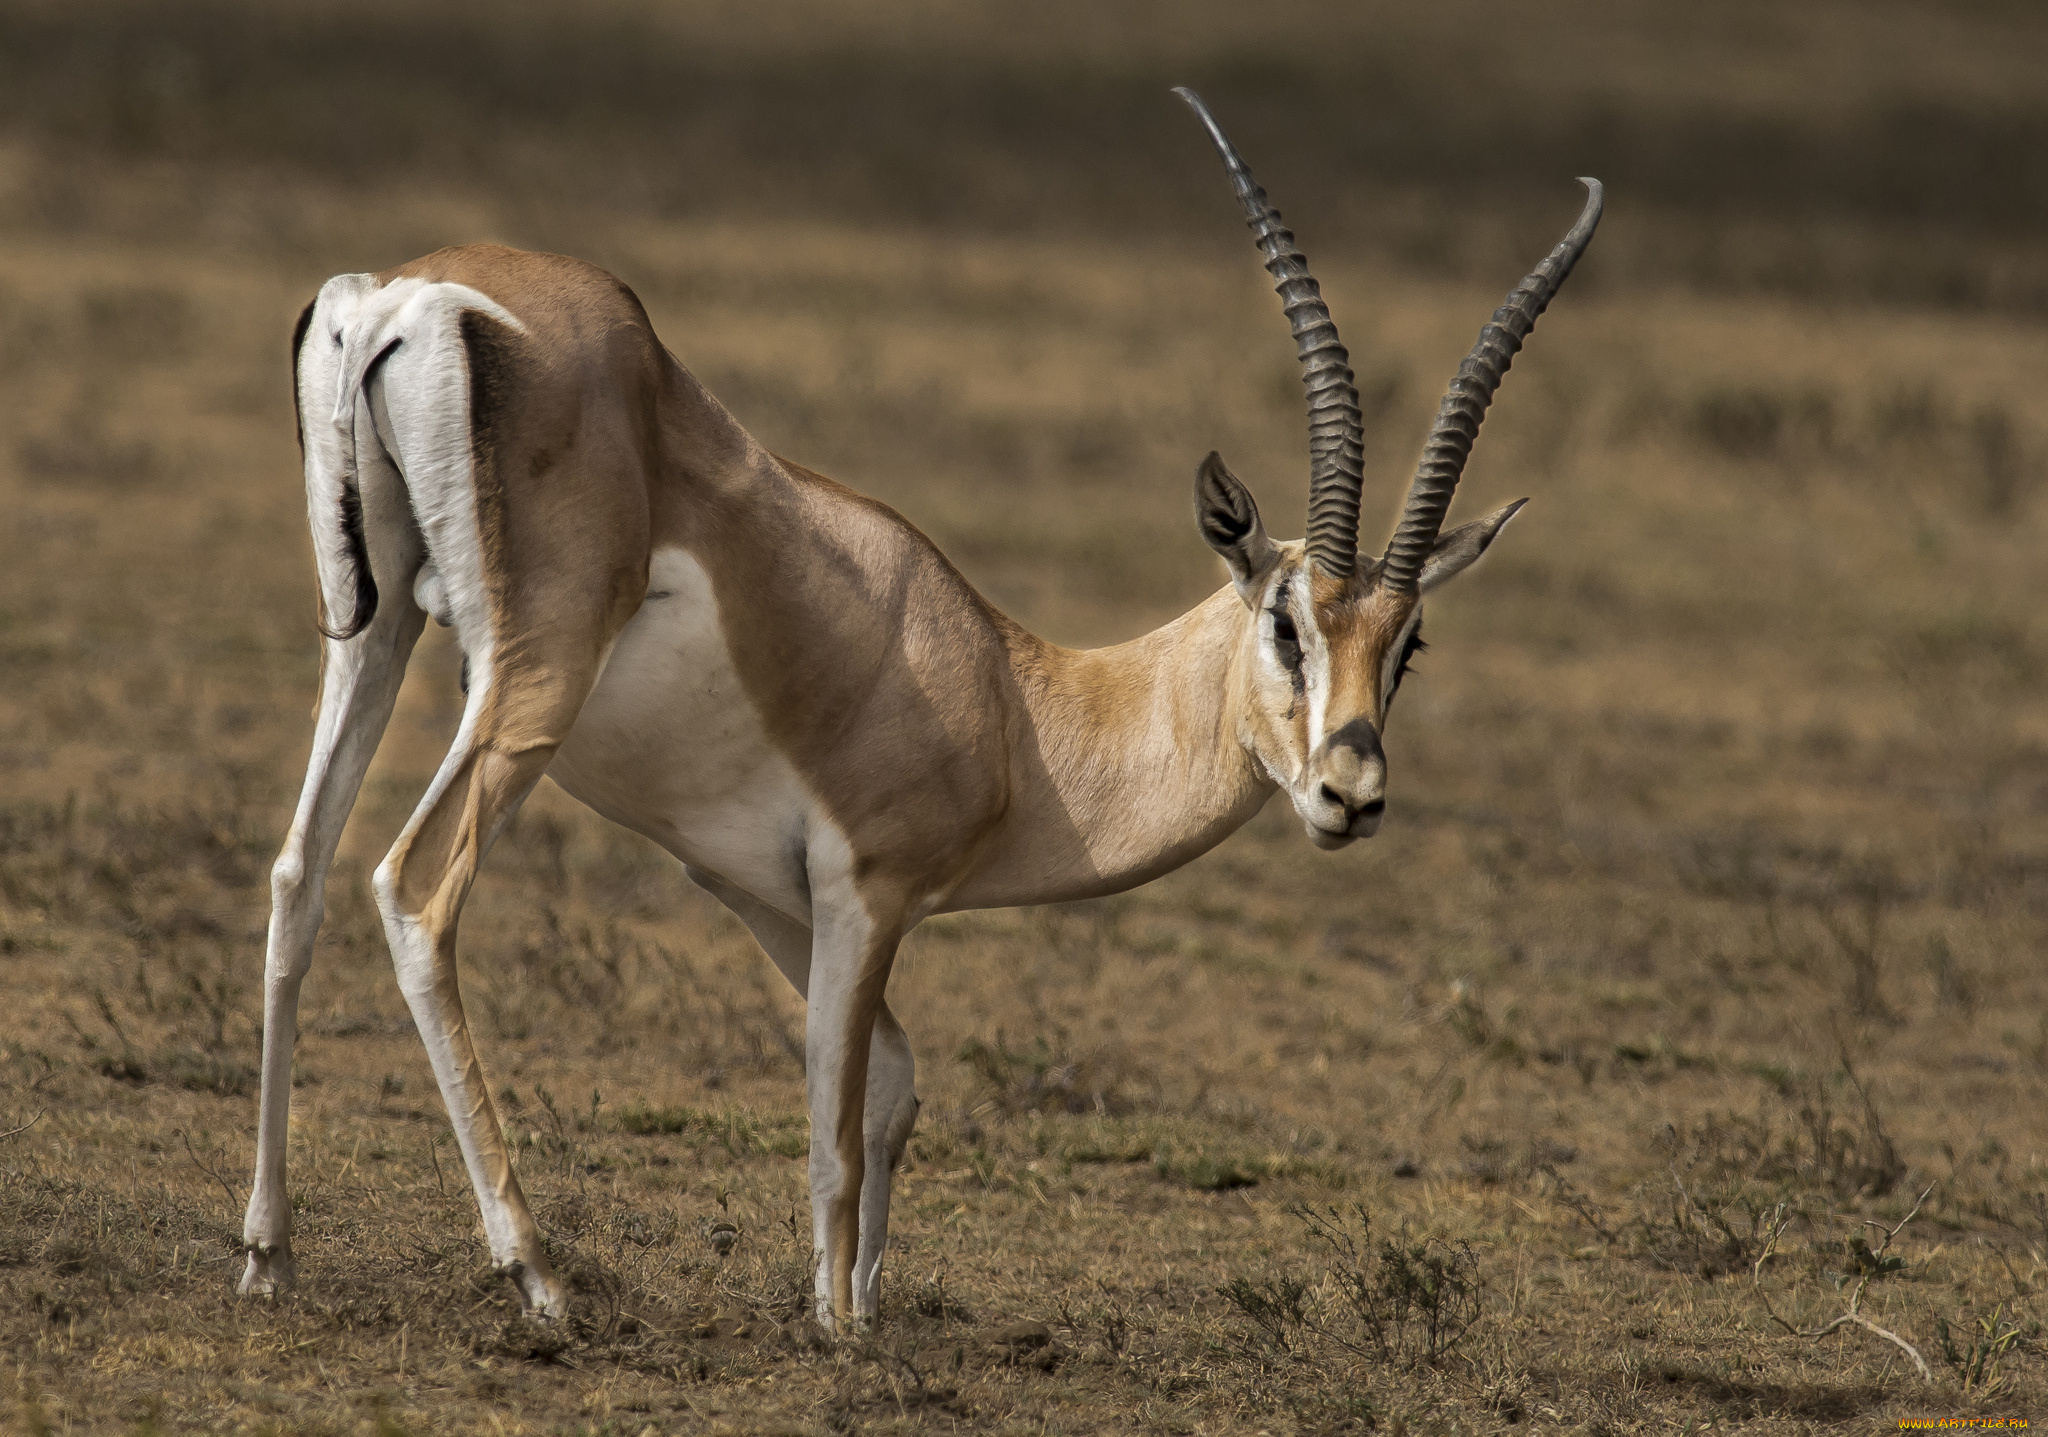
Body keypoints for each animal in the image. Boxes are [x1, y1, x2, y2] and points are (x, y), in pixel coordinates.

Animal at [239, 86, 1605, 1326]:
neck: (1013, 704)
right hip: (529, 684)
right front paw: (839, 1333)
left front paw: (862, 1305)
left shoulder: (755, 888)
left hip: (376, 631)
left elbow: (893, 1086)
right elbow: (837, 1128)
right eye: (1285, 621)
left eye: (1407, 645)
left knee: (299, 872)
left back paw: (268, 1256)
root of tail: (407, 295)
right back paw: (535, 1273)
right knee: (414, 890)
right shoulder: (865, 894)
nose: (1349, 793)